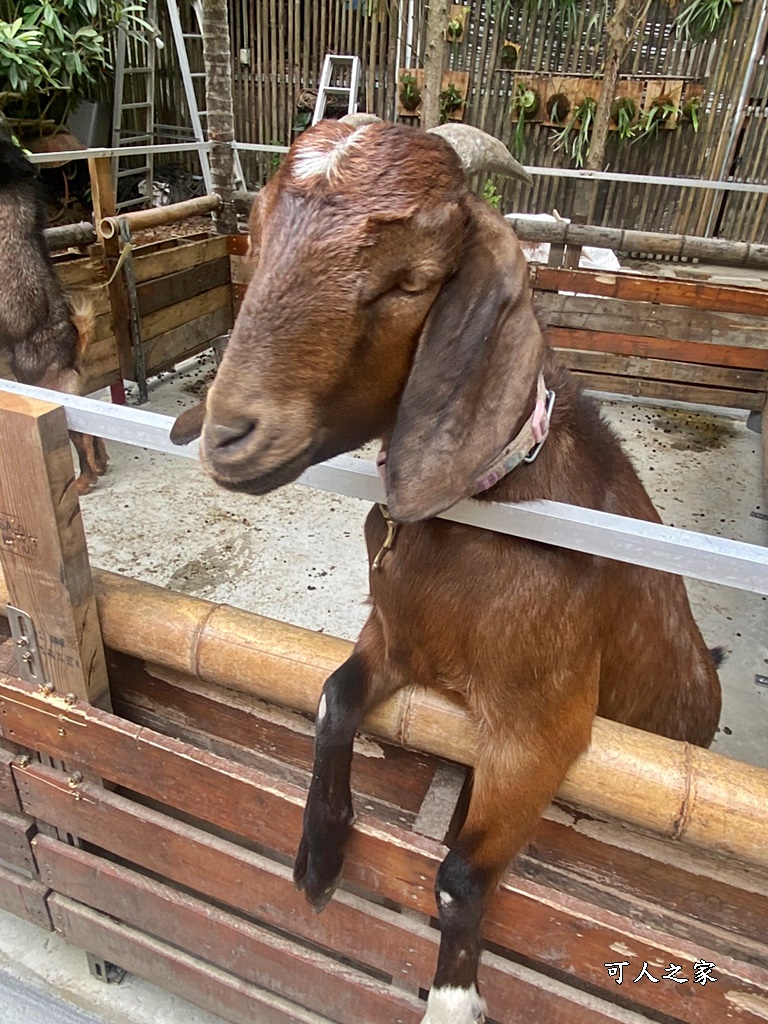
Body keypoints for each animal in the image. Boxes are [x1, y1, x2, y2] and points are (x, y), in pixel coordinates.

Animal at [0, 141, 108, 495]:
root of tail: (73, 347)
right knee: (94, 432)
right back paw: (100, 466)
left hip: (57, 394)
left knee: (82, 438)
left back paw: (84, 481)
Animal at [173, 121, 720, 1024]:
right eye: (255, 236)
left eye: (410, 282)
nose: (228, 436)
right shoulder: (393, 638)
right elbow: (331, 699)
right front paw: (317, 856)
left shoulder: (540, 729)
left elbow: (462, 874)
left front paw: (454, 999)